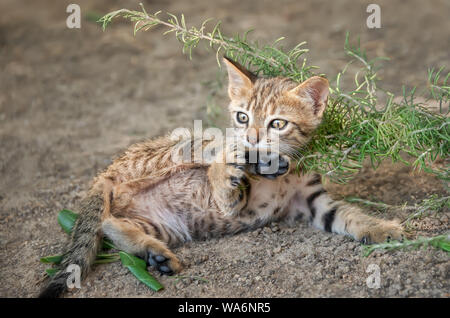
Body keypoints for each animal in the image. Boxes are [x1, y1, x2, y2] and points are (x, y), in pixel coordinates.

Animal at [39, 57, 404, 298]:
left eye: (277, 123)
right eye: (242, 117)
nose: (252, 138)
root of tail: (105, 175)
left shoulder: (313, 200)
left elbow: (349, 215)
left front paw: (381, 228)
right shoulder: (236, 196)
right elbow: (230, 187)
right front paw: (252, 164)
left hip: (161, 225)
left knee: (110, 224)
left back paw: (154, 254)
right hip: (179, 148)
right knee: (211, 157)